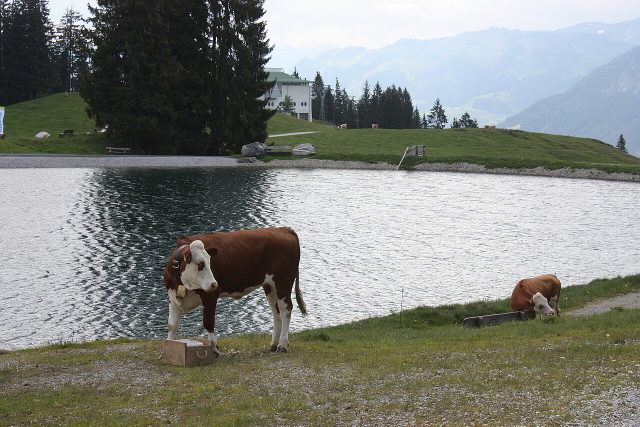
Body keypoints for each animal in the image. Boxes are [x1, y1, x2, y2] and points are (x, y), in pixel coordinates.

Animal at [163, 227, 306, 355]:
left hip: (283, 282)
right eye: (200, 264)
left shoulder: (210, 296)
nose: (214, 284)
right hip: (270, 285)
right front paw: (168, 348)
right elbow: (172, 324)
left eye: (210, 262)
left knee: (285, 310)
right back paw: (273, 344)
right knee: (276, 312)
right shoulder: (172, 297)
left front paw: (214, 349)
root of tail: (283, 229)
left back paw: (282, 345)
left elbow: (208, 323)